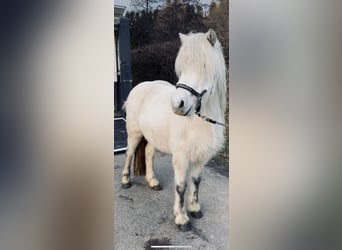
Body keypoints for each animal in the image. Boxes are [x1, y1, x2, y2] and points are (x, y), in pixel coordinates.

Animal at [121, 29, 227, 232]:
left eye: (204, 65)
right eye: (182, 67)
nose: (178, 105)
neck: (200, 120)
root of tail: (140, 86)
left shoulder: (202, 156)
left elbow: (196, 181)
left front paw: (195, 209)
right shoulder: (181, 157)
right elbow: (181, 186)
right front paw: (182, 218)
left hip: (152, 136)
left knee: (148, 154)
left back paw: (152, 181)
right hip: (134, 133)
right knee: (129, 154)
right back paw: (125, 182)